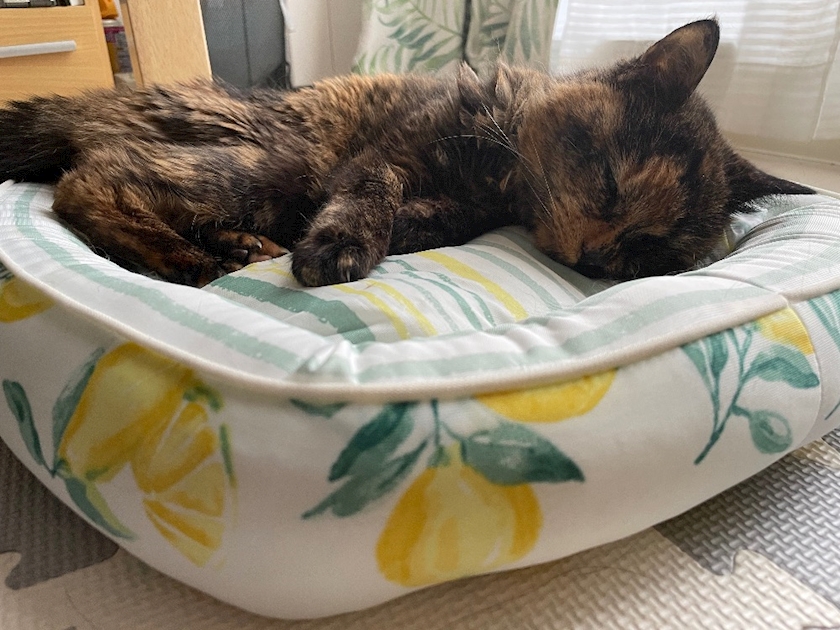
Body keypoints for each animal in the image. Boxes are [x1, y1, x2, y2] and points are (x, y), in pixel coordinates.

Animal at [0, 19, 812, 288]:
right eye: (610, 185)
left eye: (649, 252)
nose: (595, 257)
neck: (501, 173)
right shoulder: (383, 158)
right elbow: (372, 198)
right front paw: (341, 247)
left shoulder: (466, 207)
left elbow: (436, 221)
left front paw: (398, 234)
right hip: (274, 159)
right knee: (86, 184)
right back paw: (192, 261)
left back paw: (239, 246)